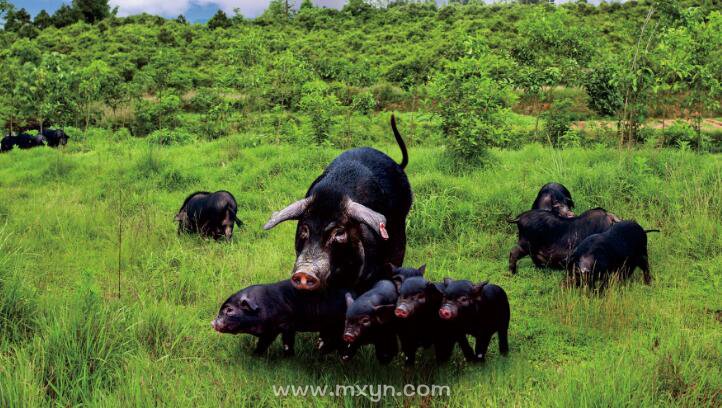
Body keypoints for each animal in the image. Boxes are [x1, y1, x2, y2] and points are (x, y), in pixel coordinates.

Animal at [211, 278, 346, 356]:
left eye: (229, 310)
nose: (212, 323)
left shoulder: (287, 324)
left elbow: (287, 342)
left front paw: (288, 356)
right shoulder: (270, 331)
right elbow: (263, 343)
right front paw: (254, 355)